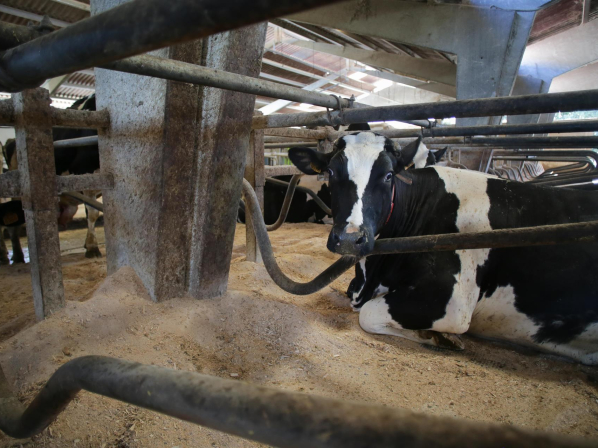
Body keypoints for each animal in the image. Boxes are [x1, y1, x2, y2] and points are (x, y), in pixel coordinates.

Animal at [288, 131, 598, 365]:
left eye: (388, 176)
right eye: (330, 171)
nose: (350, 238)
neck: (373, 273)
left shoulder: (452, 301)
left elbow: (368, 315)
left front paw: (437, 336)